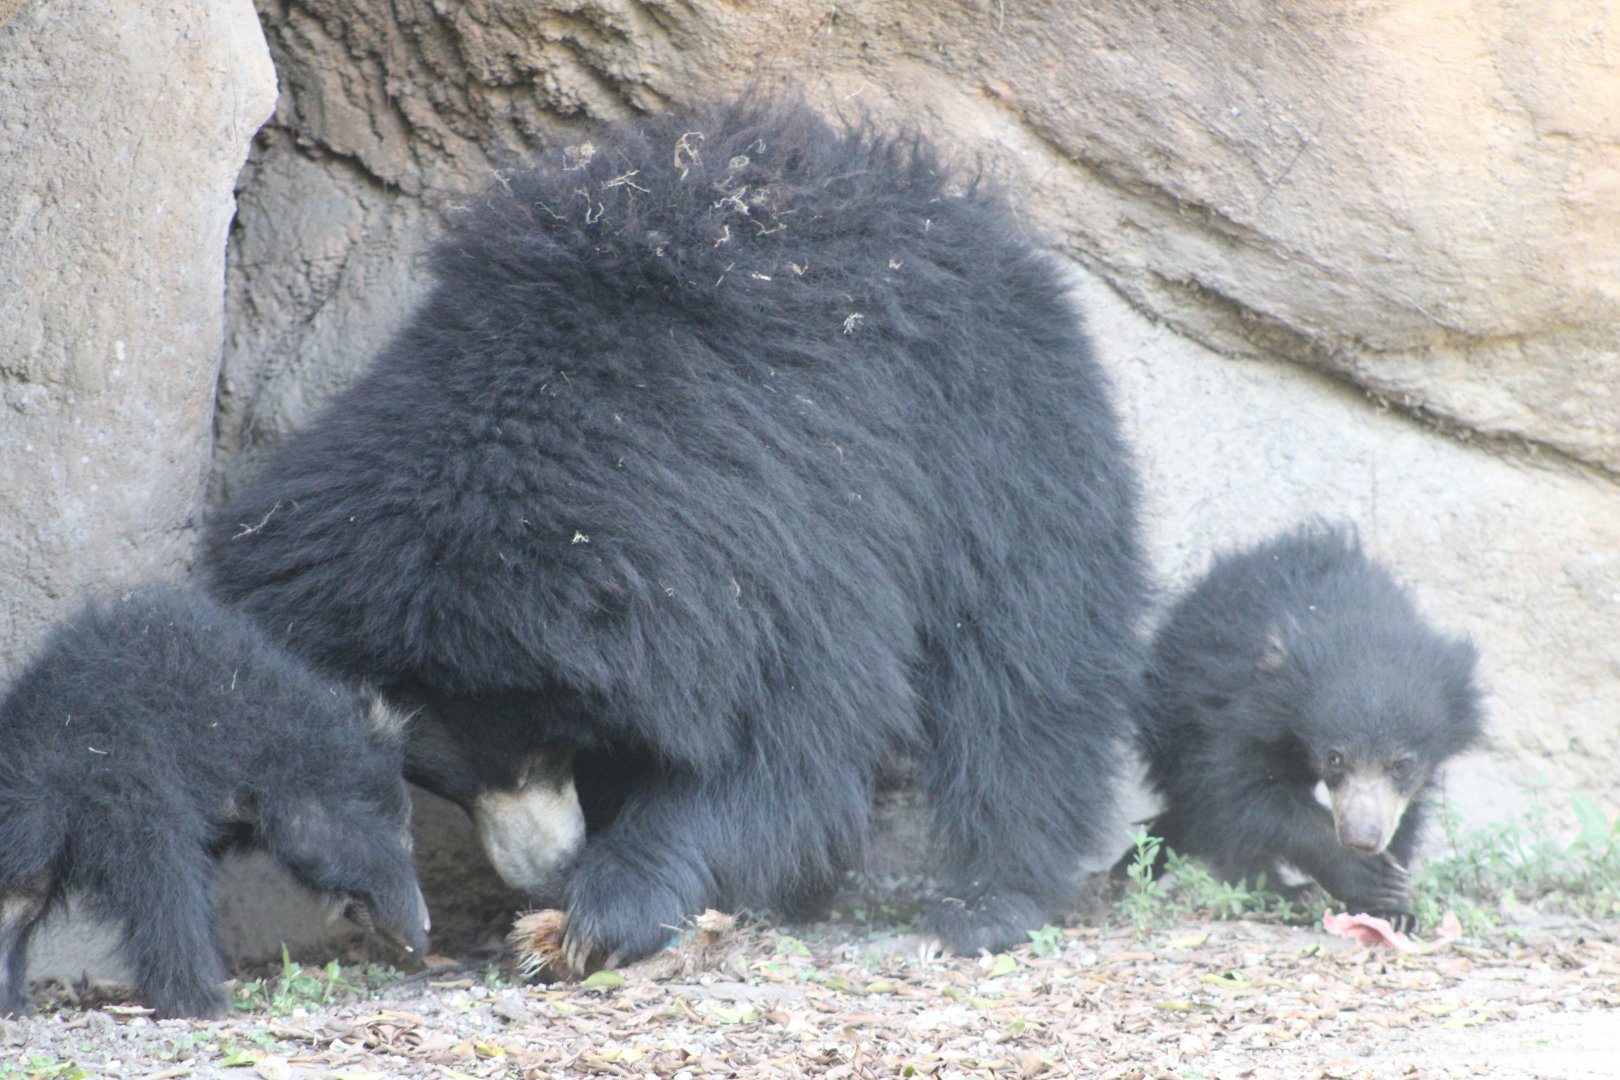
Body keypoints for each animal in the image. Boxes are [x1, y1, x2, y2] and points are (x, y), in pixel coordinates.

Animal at [0, 586, 430, 1019]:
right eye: (406, 837)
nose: (425, 927)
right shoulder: (282, 764)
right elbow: (325, 833)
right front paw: (412, 928)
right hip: (119, 792)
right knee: (165, 887)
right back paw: (203, 999)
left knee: (21, 898)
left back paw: (13, 1001)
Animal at [203, 96, 1147, 967]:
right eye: (444, 772)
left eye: (544, 744)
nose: (546, 870)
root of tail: (940, 200)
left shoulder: (798, 525)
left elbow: (793, 741)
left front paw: (597, 915)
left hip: (999, 440)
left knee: (1026, 671)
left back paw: (988, 902)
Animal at [1124, 523, 1484, 929]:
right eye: (1335, 758)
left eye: (1402, 764)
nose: (1361, 838)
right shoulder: (1244, 709)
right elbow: (1242, 791)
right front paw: (1366, 876)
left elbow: (1405, 814)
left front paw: (1393, 909)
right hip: (1173, 723)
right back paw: (1280, 891)